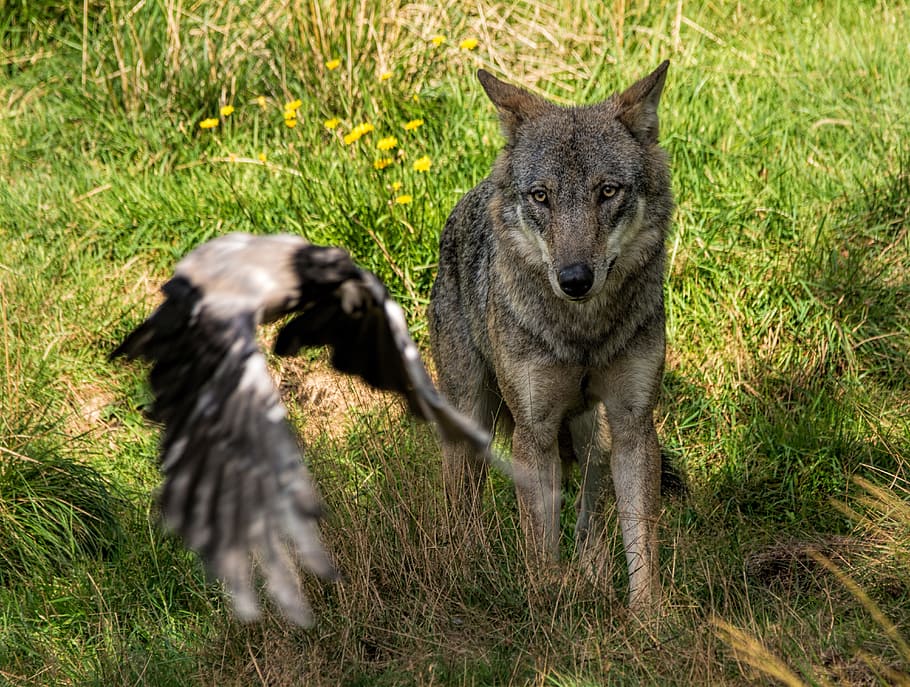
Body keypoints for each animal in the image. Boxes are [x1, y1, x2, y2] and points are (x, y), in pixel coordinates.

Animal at [428, 62, 673, 609]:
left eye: (608, 191)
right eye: (542, 196)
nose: (574, 279)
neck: (583, 334)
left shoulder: (632, 424)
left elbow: (641, 539)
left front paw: (650, 618)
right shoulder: (533, 429)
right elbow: (538, 541)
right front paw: (545, 605)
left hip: (592, 435)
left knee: (588, 516)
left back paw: (591, 575)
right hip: (469, 417)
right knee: (461, 506)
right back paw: (464, 570)